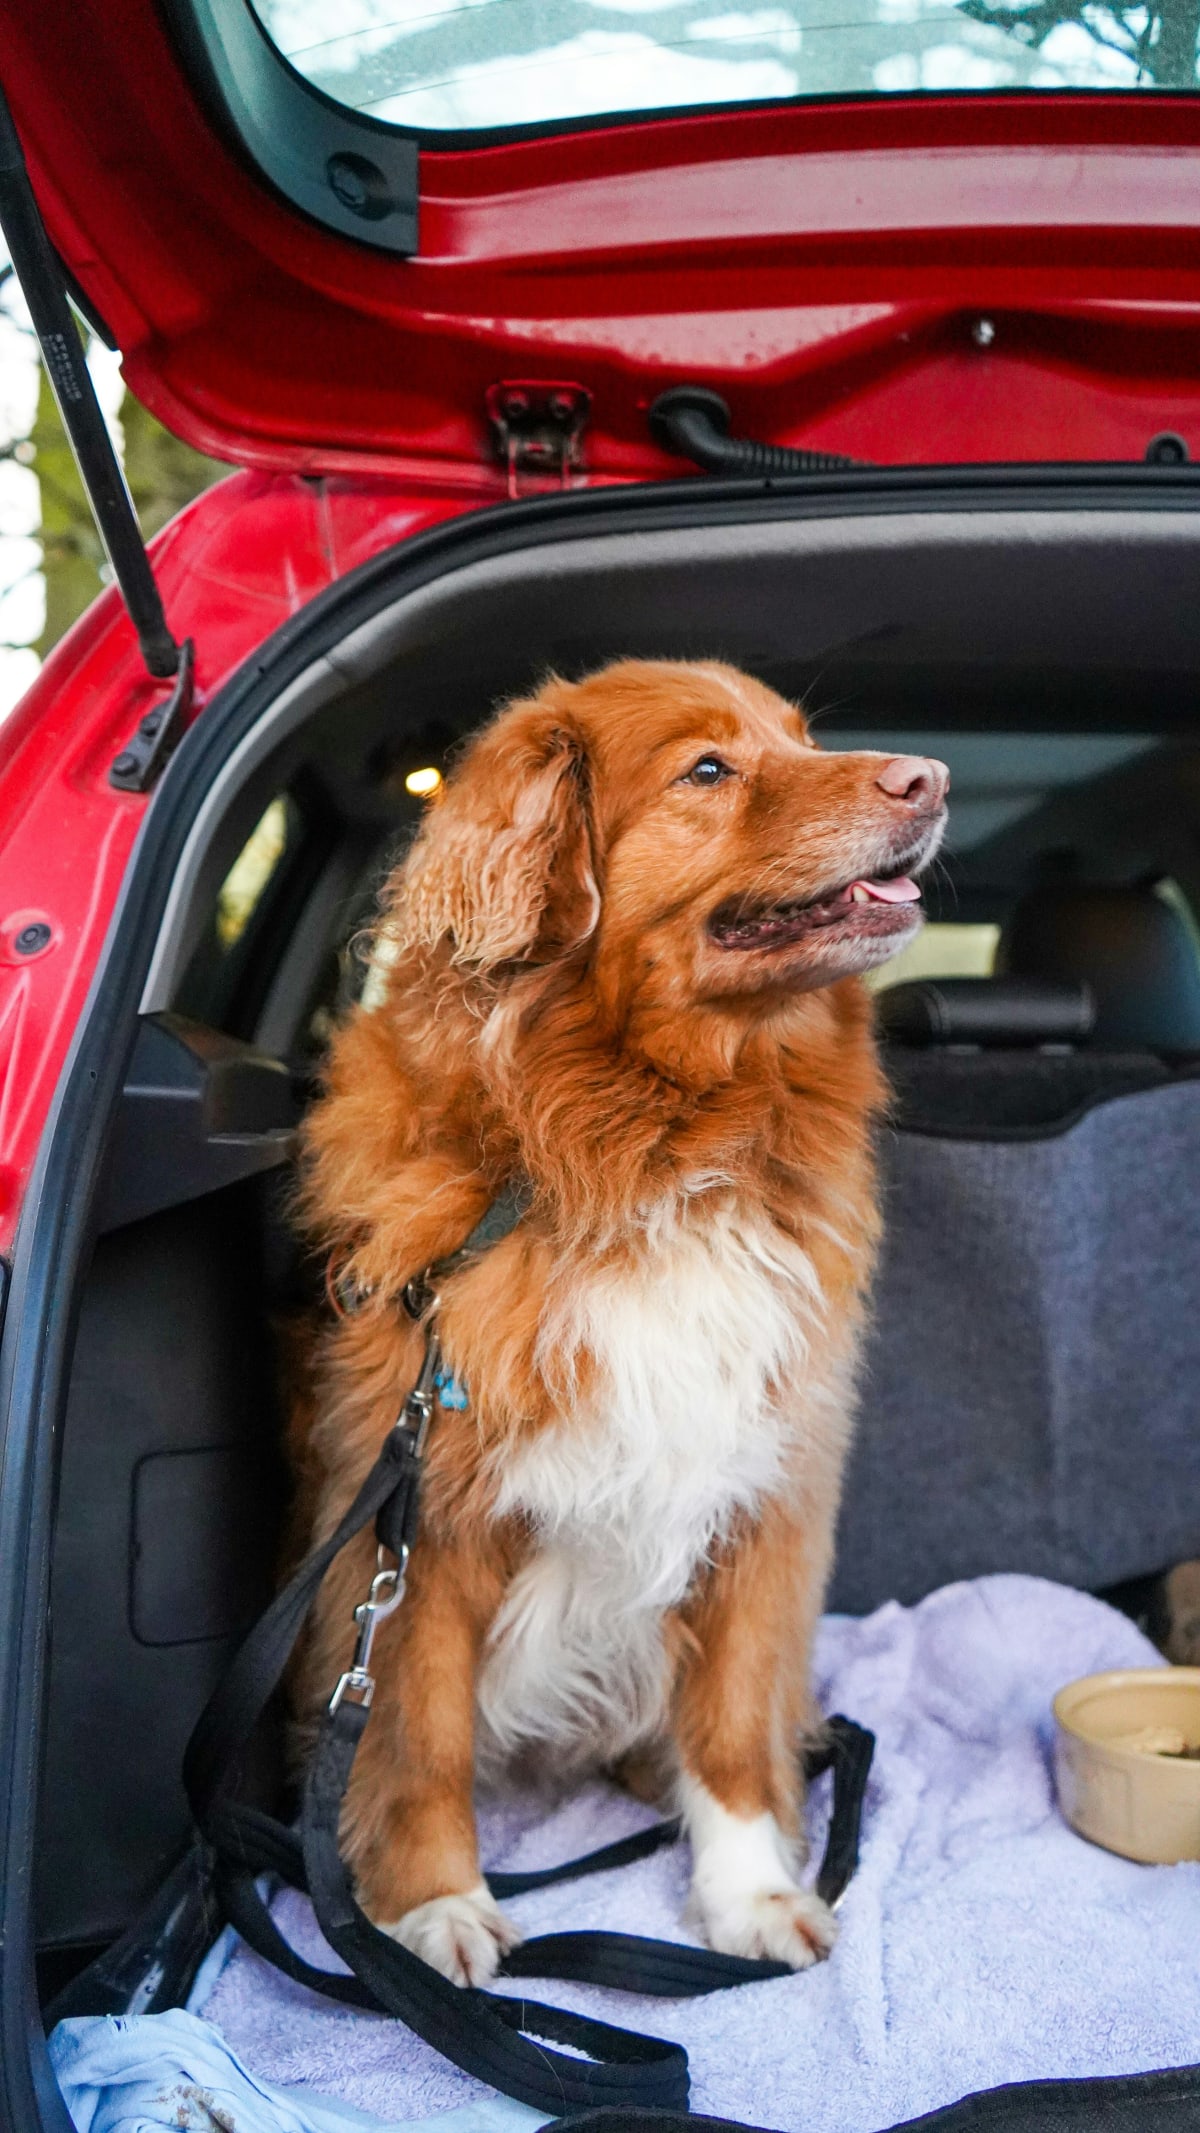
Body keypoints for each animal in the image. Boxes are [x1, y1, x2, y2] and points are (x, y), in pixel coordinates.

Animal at [294, 661, 950, 1979]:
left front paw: (747, 1892)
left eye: (802, 739)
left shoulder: (762, 1488)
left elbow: (734, 1721)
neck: (655, 1147)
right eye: (708, 770)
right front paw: (433, 1905)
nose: (931, 777)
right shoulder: (422, 1521)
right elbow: (420, 1735)